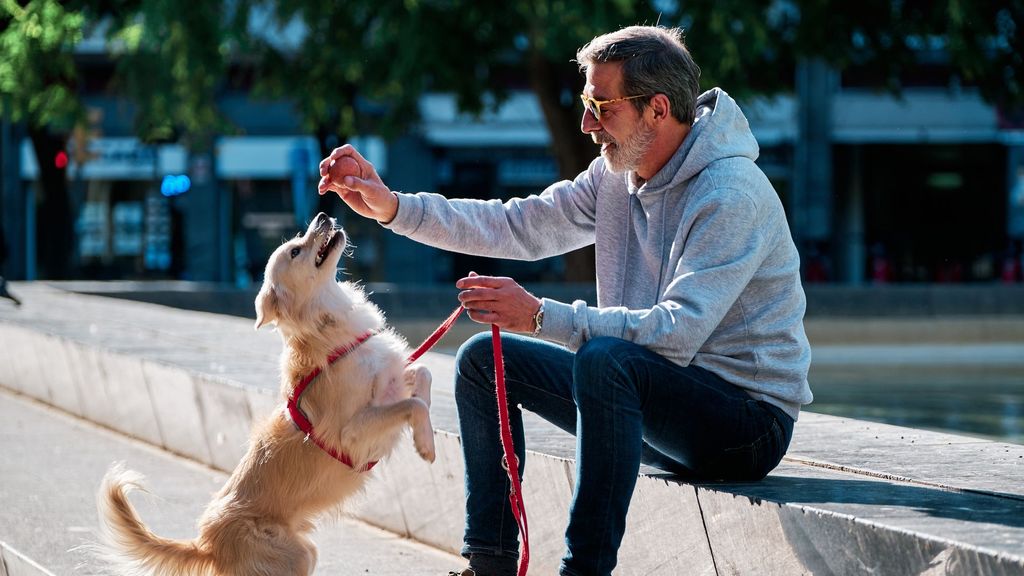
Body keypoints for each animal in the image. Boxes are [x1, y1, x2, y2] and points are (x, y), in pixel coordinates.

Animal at [93, 212, 436, 573]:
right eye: (296, 251)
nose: (322, 216)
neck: (327, 330)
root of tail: (206, 545)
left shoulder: (392, 381)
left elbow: (422, 377)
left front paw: (425, 428)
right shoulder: (352, 433)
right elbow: (412, 405)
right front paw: (425, 445)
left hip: (304, 551)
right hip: (294, 556)